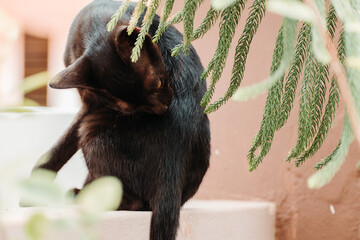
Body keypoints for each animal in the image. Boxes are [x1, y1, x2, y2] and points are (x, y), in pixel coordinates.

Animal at [34, 0, 211, 239]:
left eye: (159, 82)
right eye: (127, 109)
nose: (162, 109)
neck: (97, 25)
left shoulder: (89, 108)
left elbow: (60, 146)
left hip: (91, 132)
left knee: (130, 200)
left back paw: (80, 196)